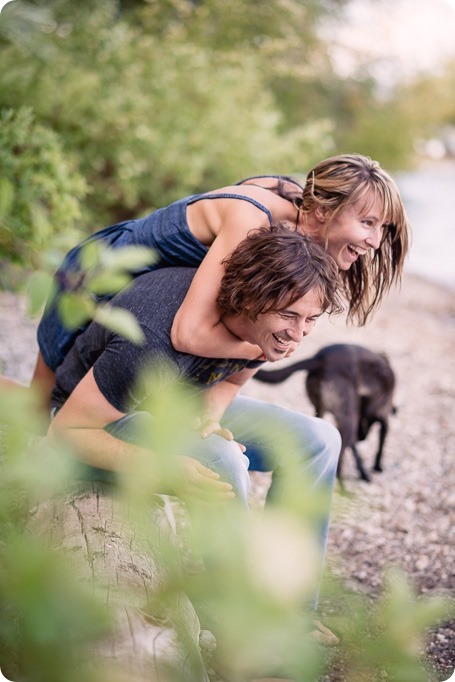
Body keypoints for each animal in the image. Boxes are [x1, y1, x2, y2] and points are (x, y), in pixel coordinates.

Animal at [255, 342, 398, 480]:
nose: (361, 438)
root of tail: (320, 359)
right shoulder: (382, 420)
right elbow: (380, 446)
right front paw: (377, 467)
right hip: (348, 419)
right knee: (340, 458)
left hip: (323, 414)